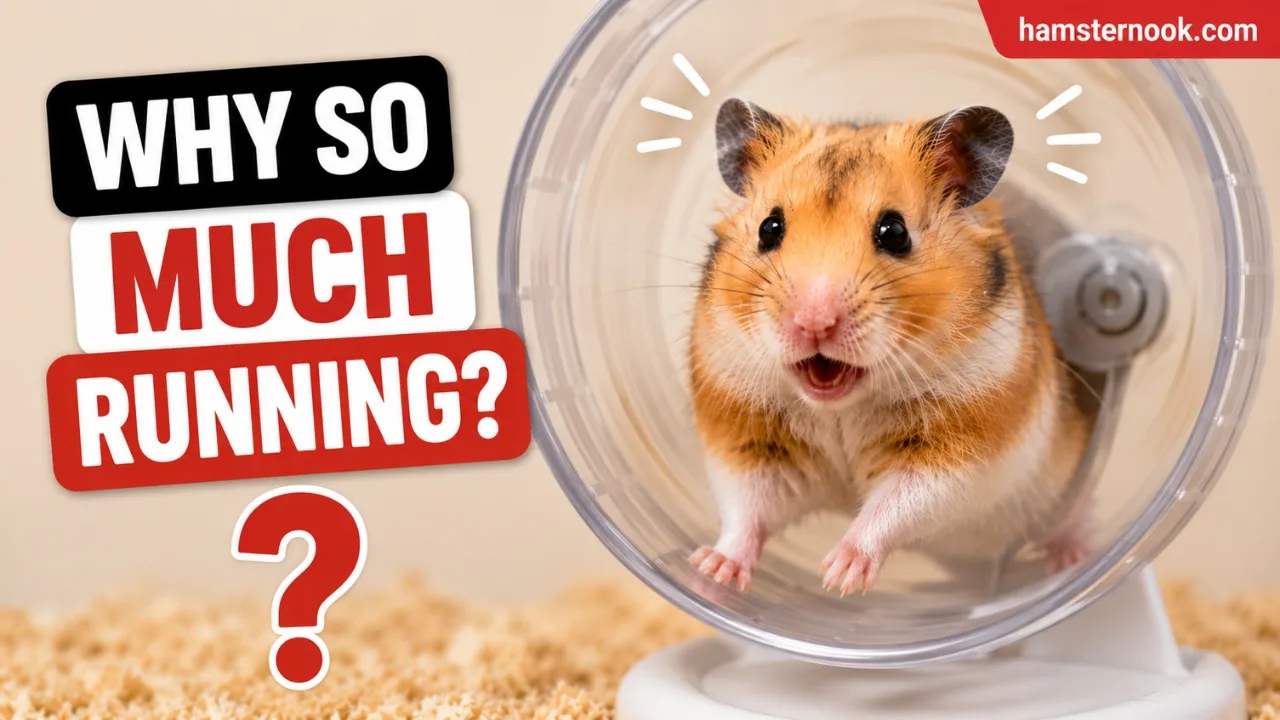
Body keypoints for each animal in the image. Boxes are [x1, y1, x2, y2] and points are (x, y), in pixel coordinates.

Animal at [686, 99, 1092, 595]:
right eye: (769, 228)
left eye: (895, 232)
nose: (813, 322)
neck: (839, 406)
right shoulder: (748, 441)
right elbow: (746, 509)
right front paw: (710, 570)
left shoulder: (957, 453)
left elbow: (894, 506)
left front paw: (838, 577)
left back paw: (1073, 558)